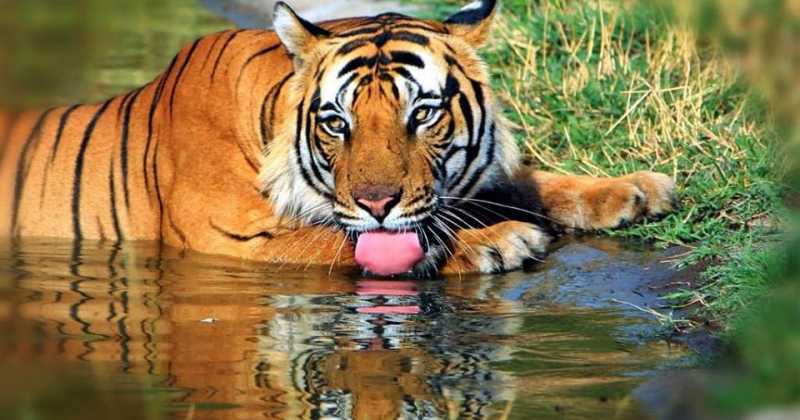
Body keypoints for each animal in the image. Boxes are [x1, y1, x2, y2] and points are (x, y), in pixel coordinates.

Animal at [0, 0, 677, 277]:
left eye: (422, 114)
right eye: (336, 122)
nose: (378, 203)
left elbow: (529, 179)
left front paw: (636, 190)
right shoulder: (233, 241)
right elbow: (335, 242)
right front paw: (497, 240)